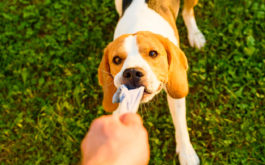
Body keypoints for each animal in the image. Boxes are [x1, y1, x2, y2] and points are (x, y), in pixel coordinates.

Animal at [97, 0, 204, 164]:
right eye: (116, 60)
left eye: (153, 53)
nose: (132, 73)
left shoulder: (175, 92)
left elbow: (181, 125)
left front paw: (187, 153)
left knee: (187, 12)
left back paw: (195, 34)